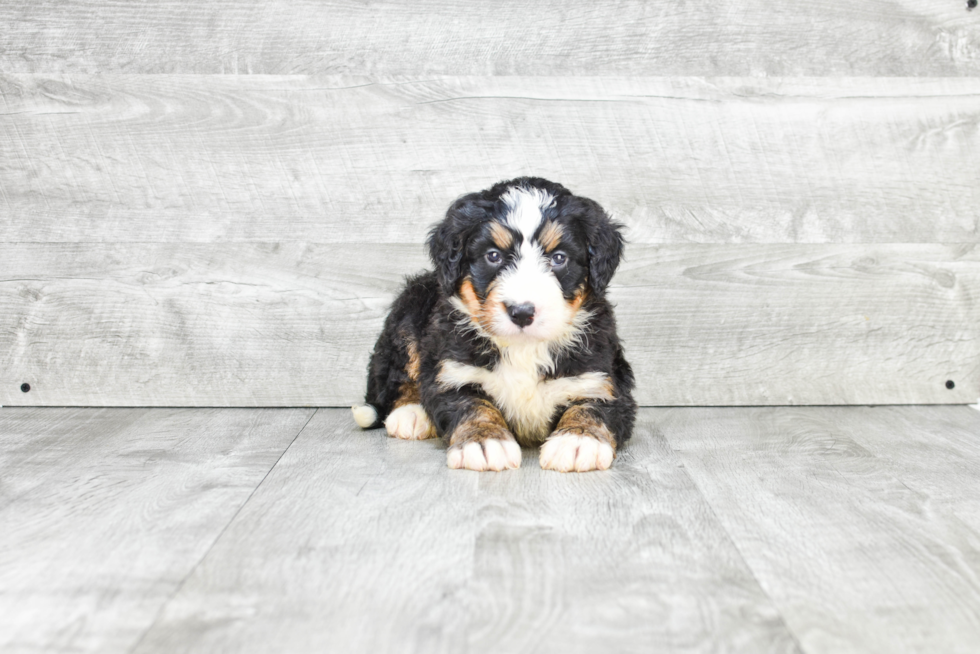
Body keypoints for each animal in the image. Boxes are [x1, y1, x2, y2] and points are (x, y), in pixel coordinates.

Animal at [350, 177, 636, 474]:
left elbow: (592, 406)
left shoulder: (600, 377)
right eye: (493, 256)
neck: (524, 349)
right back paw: (411, 412)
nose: (521, 312)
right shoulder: (452, 372)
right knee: (399, 374)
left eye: (559, 258)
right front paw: (484, 441)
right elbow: (473, 405)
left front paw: (578, 440)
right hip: (407, 314)